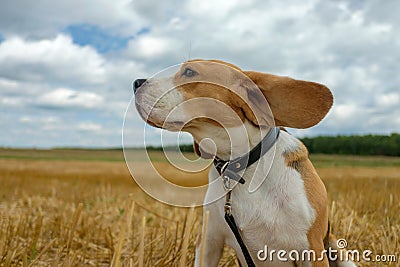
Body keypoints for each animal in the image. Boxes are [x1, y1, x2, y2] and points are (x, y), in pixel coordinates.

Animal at [134, 59, 356, 266]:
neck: (242, 166)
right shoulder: (209, 241)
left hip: (338, 250)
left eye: (189, 72)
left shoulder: (311, 248)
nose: (136, 83)